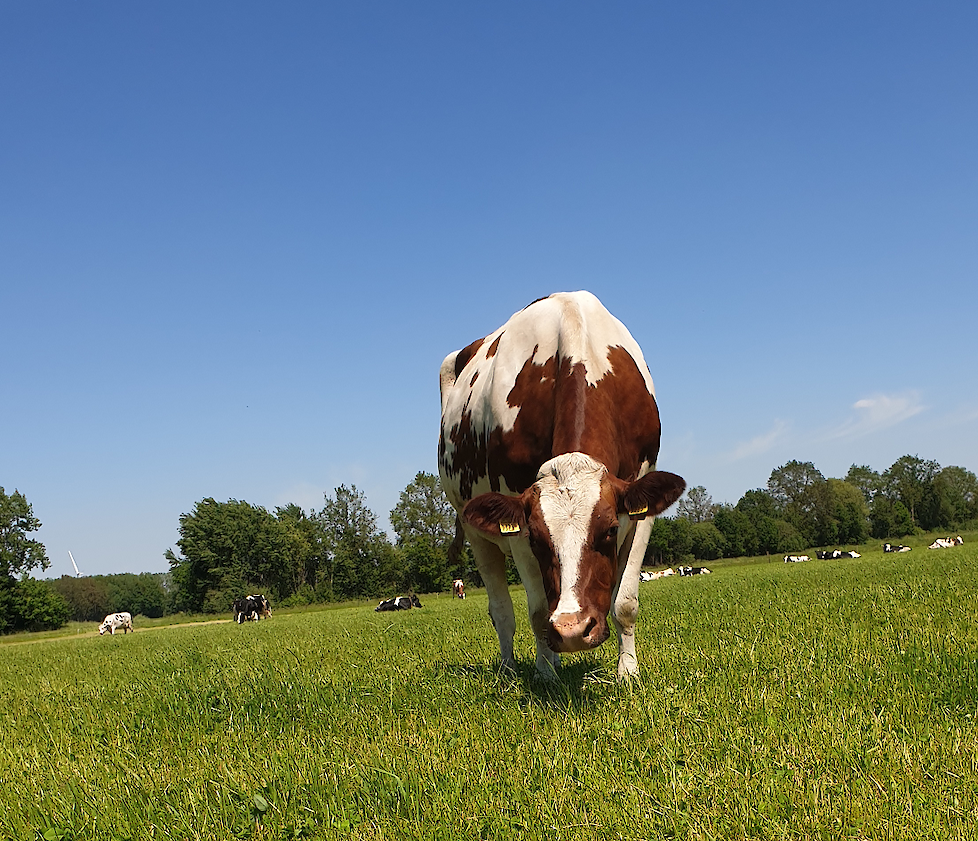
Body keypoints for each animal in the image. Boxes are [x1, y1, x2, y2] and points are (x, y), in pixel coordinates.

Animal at [438, 292, 684, 680]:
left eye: (610, 530)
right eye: (538, 538)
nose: (571, 630)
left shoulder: (641, 509)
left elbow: (625, 601)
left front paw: (627, 673)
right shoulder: (517, 519)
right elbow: (538, 611)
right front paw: (545, 676)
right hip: (475, 531)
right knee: (502, 610)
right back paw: (512, 669)